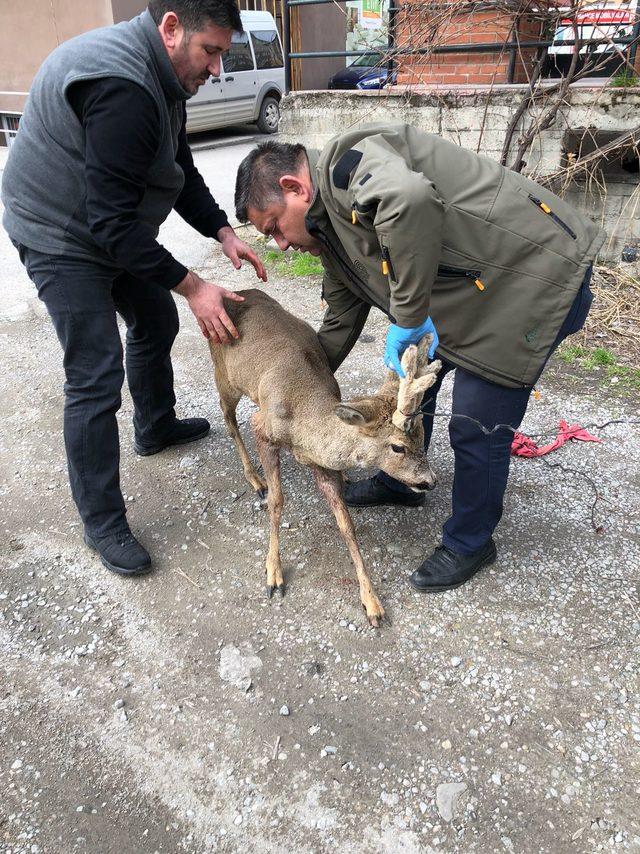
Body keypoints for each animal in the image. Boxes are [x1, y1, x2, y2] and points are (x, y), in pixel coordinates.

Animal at [209, 290, 440, 628]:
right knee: (228, 419)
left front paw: (372, 602)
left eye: (422, 436)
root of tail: (238, 292)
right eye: (398, 447)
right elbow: (277, 501)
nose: (430, 481)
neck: (305, 420)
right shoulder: (263, 427)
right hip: (225, 374)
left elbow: (346, 524)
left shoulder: (322, 463)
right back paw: (254, 478)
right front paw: (273, 573)